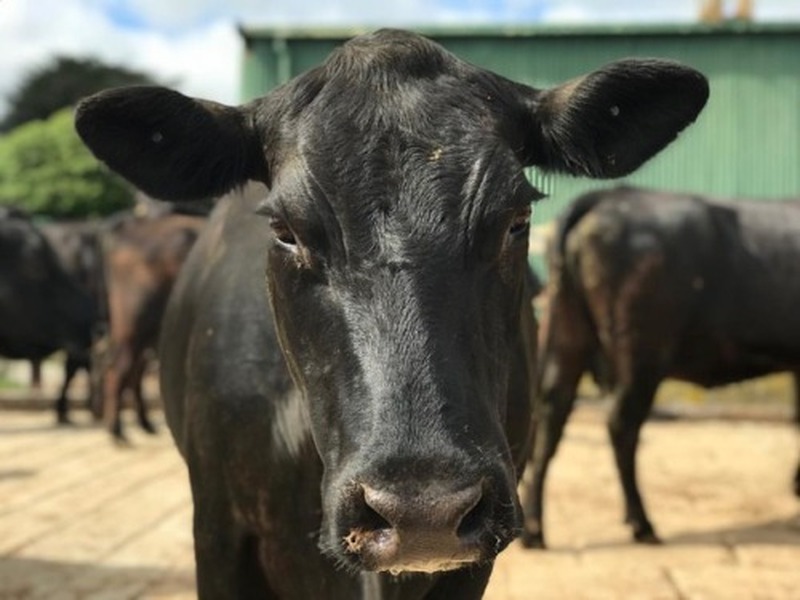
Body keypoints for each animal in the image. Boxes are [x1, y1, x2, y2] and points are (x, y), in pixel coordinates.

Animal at [520, 186, 800, 548]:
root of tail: (611, 194)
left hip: (568, 336)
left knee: (550, 420)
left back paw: (534, 529)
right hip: (641, 354)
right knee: (621, 427)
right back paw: (642, 523)